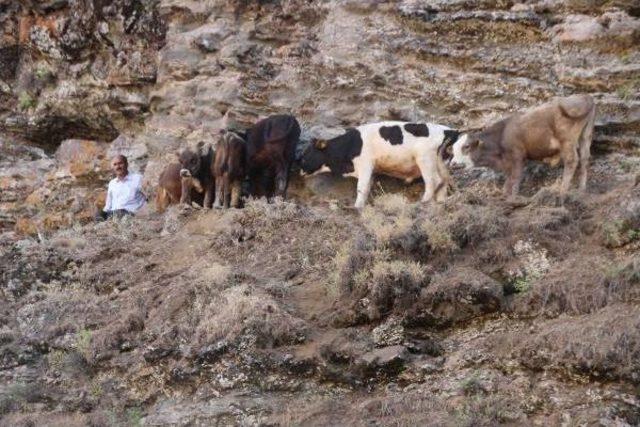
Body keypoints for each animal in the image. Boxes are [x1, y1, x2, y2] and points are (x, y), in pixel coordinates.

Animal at [300, 121, 460, 210]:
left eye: (307, 153)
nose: (299, 168)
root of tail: (449, 130)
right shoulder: (371, 170)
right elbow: (367, 188)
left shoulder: (365, 163)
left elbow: (361, 188)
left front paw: (356, 207)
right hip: (441, 163)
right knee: (444, 182)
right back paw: (440, 202)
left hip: (425, 159)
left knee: (434, 181)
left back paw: (423, 202)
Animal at [452, 94, 596, 198]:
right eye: (453, 149)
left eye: (466, 146)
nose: (453, 163)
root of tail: (585, 97)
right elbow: (508, 179)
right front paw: (505, 194)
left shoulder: (517, 155)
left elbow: (515, 177)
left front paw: (513, 197)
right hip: (585, 135)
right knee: (584, 159)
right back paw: (582, 190)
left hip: (567, 140)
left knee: (572, 161)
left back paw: (562, 191)